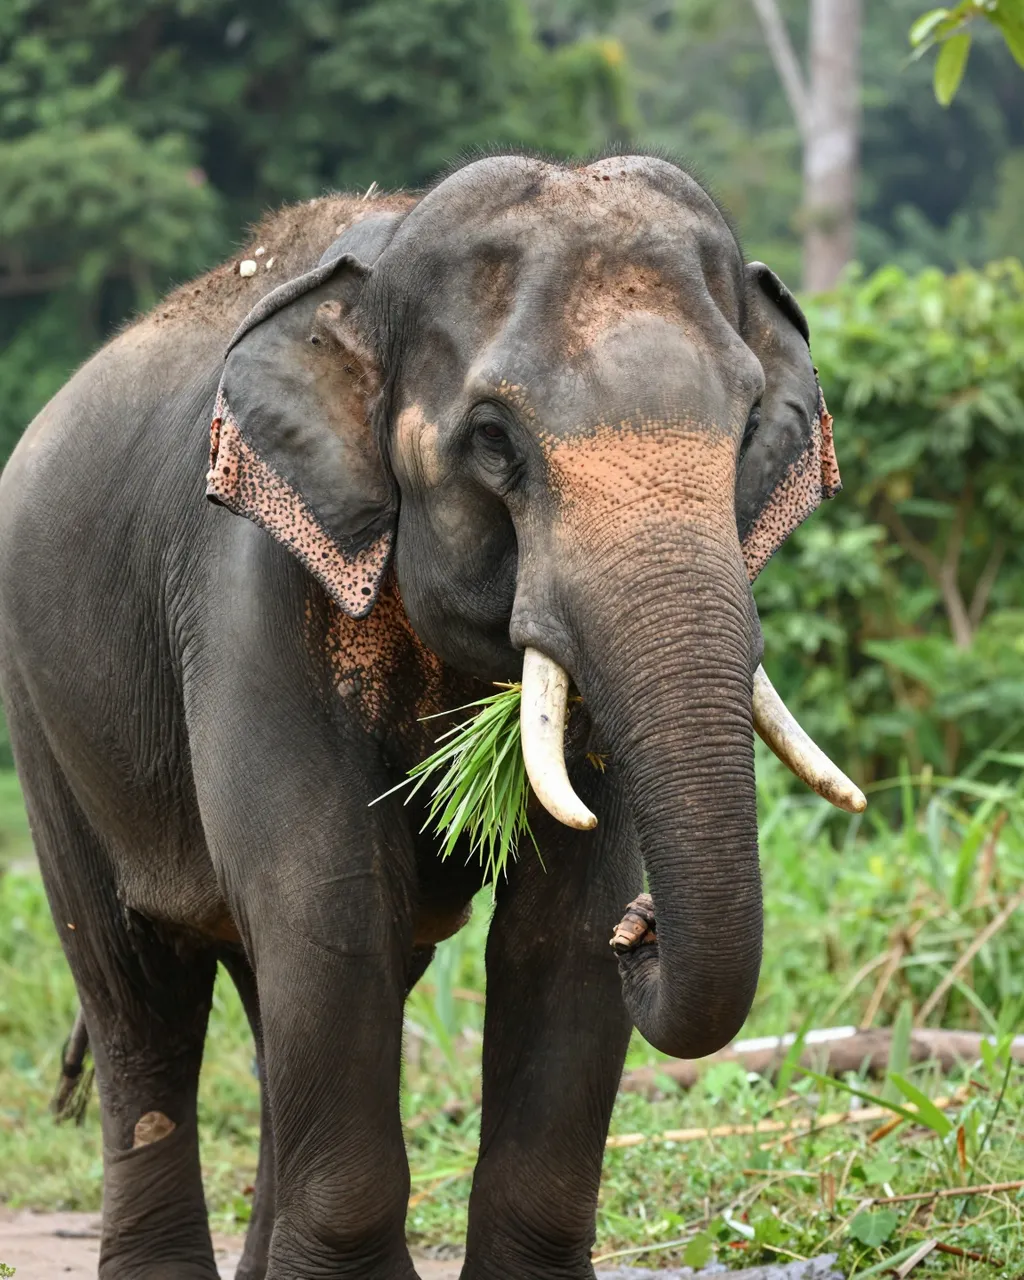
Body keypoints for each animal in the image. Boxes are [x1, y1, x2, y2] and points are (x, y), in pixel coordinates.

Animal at [0, 153, 864, 1280]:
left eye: (750, 420)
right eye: (493, 439)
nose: (647, 932)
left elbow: (560, 921)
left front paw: (604, 914)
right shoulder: (250, 586)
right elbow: (322, 890)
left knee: (280, 998)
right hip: (40, 708)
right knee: (139, 991)